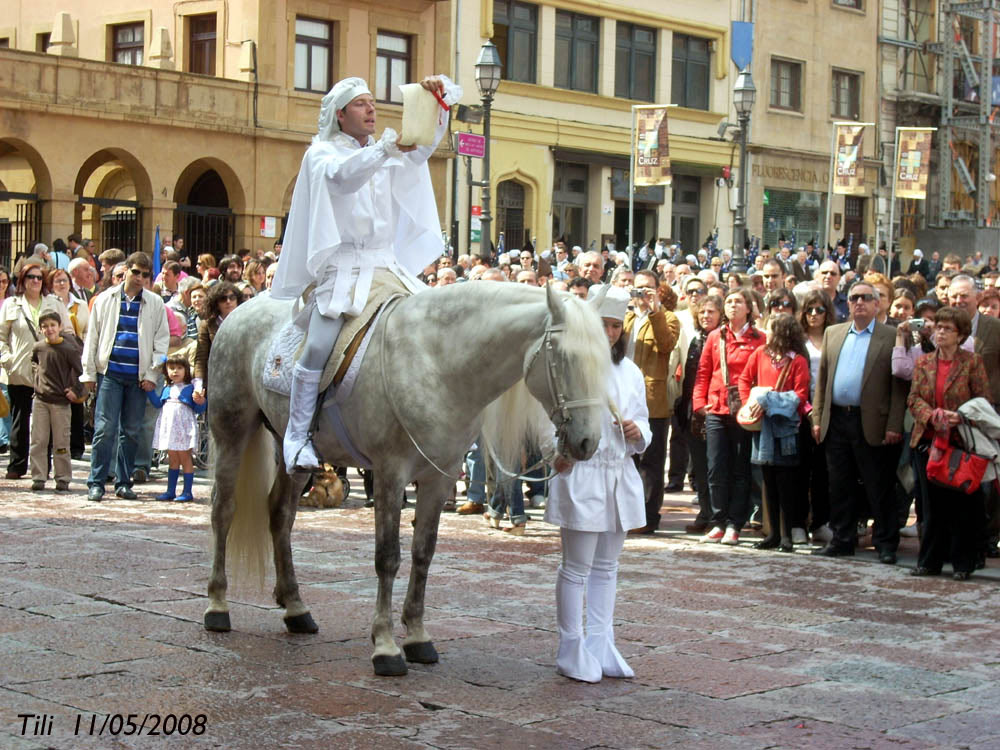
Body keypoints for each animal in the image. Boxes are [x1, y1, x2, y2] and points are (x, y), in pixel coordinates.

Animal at [203, 280, 608, 676]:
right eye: (566, 358)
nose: (587, 442)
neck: (439, 362)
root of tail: (239, 309)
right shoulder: (390, 473)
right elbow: (388, 556)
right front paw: (385, 645)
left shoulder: (438, 478)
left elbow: (423, 552)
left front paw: (416, 636)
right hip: (231, 432)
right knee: (224, 510)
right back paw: (217, 605)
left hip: (292, 453)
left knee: (280, 516)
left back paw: (296, 608)